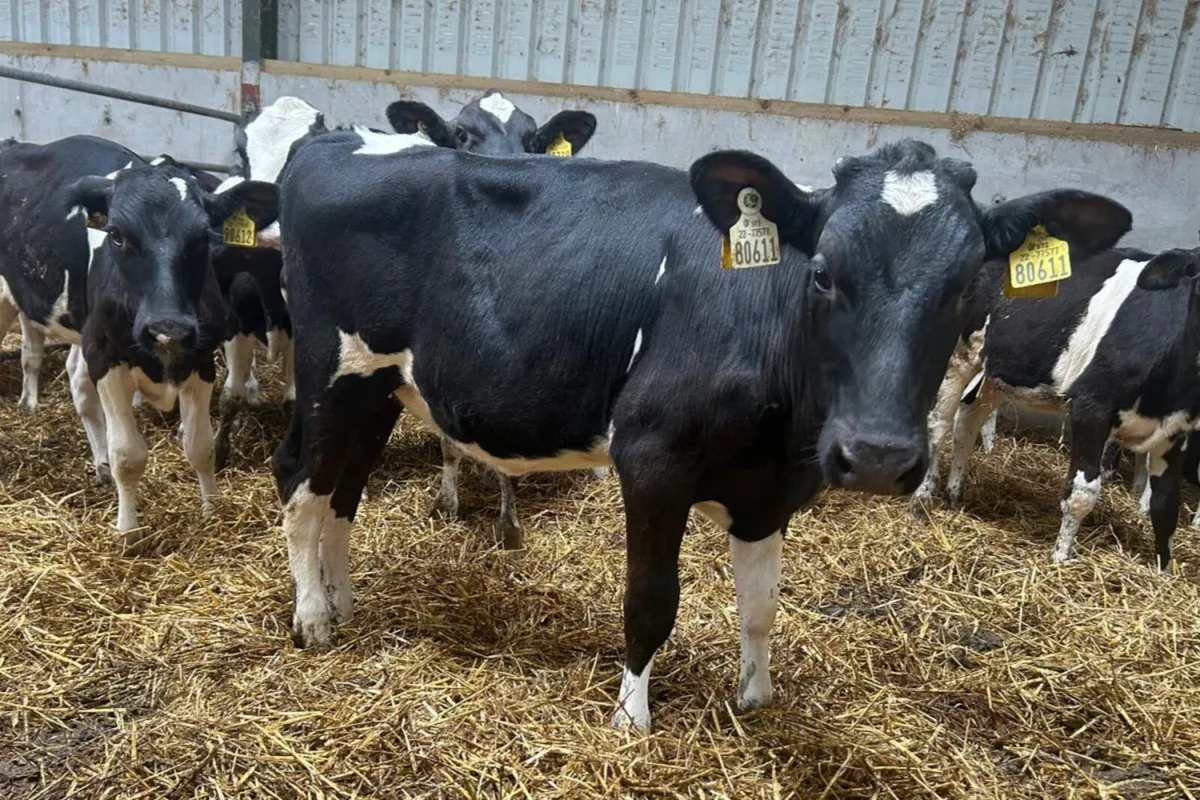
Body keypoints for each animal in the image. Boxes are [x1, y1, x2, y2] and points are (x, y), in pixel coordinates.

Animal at [62, 163, 277, 551]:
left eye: (204, 237)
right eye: (116, 234)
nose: (168, 329)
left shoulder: (200, 362)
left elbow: (200, 446)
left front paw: (212, 510)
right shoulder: (105, 361)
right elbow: (127, 456)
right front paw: (128, 531)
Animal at [265, 127, 1130, 730]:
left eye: (964, 288)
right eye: (823, 273)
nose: (879, 457)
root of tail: (328, 142)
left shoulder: (773, 489)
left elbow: (761, 605)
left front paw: (757, 697)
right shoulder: (652, 460)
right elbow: (651, 599)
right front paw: (630, 717)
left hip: (379, 386)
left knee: (343, 490)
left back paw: (342, 602)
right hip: (330, 369)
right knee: (299, 481)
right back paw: (311, 619)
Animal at [917, 247, 1200, 571]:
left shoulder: (1176, 431)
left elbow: (1165, 503)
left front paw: (1163, 571)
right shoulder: (1091, 407)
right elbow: (1082, 493)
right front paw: (1061, 557)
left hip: (998, 368)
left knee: (968, 419)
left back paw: (954, 494)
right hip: (959, 353)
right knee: (938, 421)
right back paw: (923, 495)